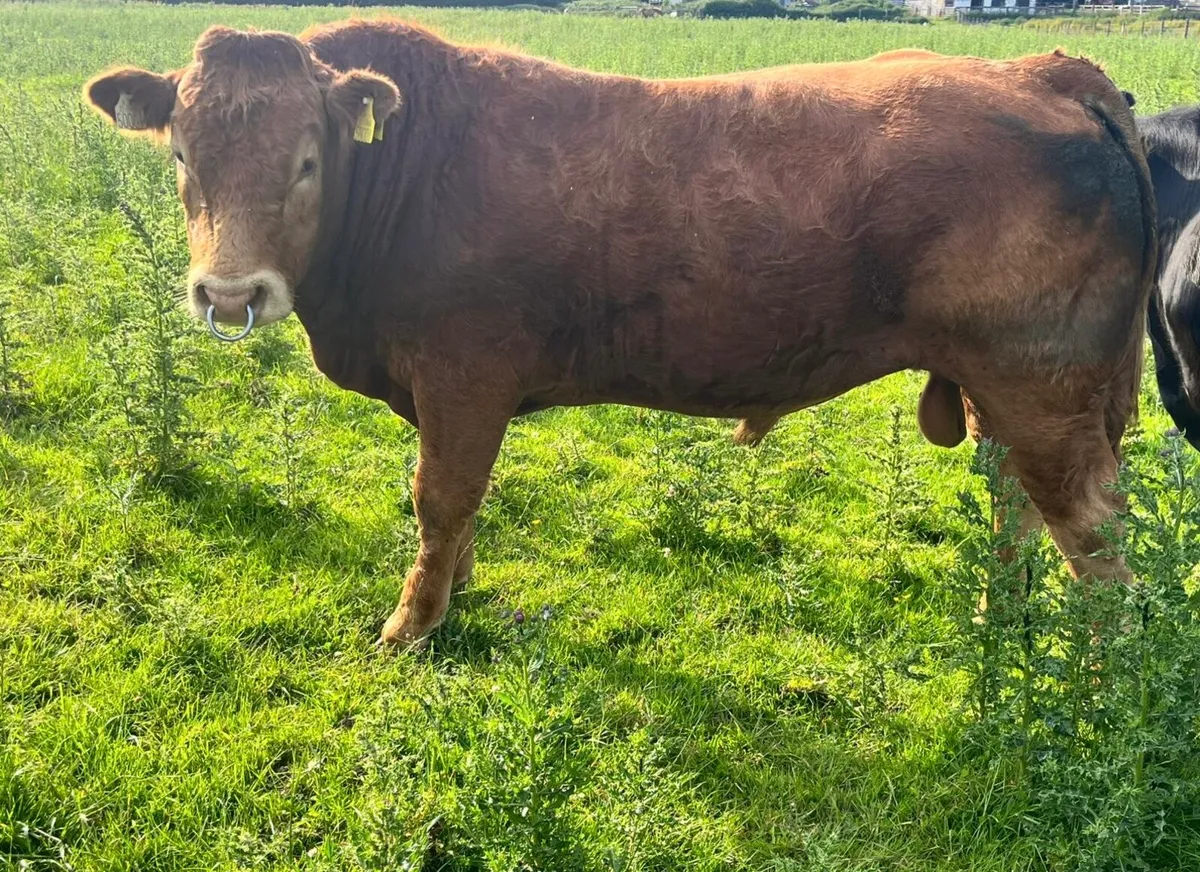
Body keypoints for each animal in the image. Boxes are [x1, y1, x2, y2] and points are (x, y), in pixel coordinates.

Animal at [84, 21, 1156, 647]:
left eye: (308, 160)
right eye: (180, 155)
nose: (230, 294)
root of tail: (1046, 70)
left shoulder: (463, 373)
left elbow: (439, 498)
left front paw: (413, 626)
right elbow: (456, 505)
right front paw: (455, 592)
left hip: (1045, 391)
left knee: (1096, 543)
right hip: (1008, 392)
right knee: (1018, 508)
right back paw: (996, 624)